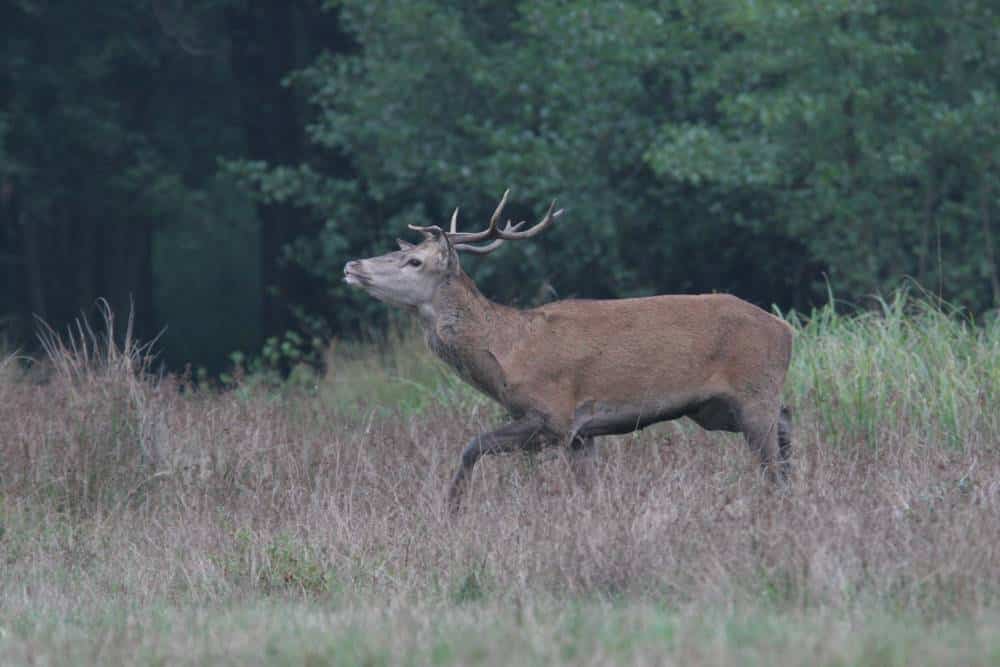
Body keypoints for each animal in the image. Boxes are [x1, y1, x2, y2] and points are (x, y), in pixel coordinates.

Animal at [343, 190, 794, 512]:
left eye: (415, 261)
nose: (352, 265)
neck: (506, 352)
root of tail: (786, 331)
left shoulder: (553, 414)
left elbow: (472, 445)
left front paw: (451, 509)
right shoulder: (581, 434)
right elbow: (589, 493)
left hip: (753, 390)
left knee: (772, 456)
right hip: (715, 409)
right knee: (787, 422)